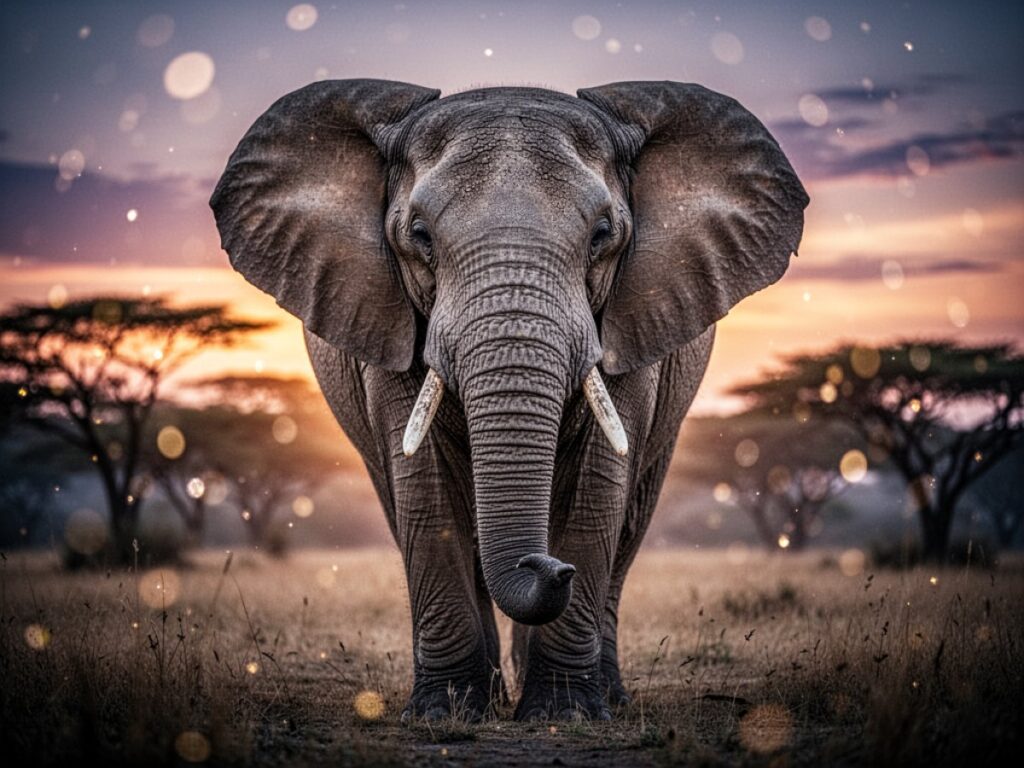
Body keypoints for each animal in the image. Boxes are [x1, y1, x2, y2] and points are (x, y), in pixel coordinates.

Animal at [210, 78, 807, 721]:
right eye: (418, 235)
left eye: (603, 234)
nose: (546, 566)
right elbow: (426, 493)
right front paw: (445, 713)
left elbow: (598, 490)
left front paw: (563, 714)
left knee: (629, 521)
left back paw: (605, 696)